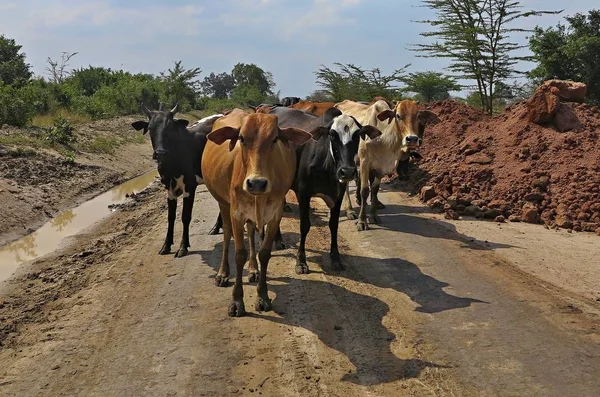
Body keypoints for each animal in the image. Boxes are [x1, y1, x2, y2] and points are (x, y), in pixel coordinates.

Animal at [131, 103, 223, 255]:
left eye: (170, 128)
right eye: (150, 128)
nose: (160, 153)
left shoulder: (190, 186)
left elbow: (185, 216)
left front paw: (183, 246)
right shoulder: (169, 188)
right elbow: (171, 217)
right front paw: (166, 246)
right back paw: (216, 227)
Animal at [203, 108, 312, 316]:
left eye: (275, 138)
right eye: (241, 138)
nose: (256, 183)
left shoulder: (275, 214)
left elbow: (264, 253)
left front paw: (263, 297)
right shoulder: (236, 213)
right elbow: (239, 254)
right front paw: (237, 301)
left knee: (252, 233)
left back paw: (253, 270)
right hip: (223, 203)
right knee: (227, 233)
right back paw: (223, 273)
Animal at [336, 98, 438, 230]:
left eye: (418, 116)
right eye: (398, 115)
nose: (412, 139)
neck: (383, 138)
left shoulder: (381, 167)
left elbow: (375, 189)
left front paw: (373, 215)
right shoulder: (364, 162)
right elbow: (365, 190)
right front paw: (362, 221)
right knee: (346, 183)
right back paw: (349, 210)